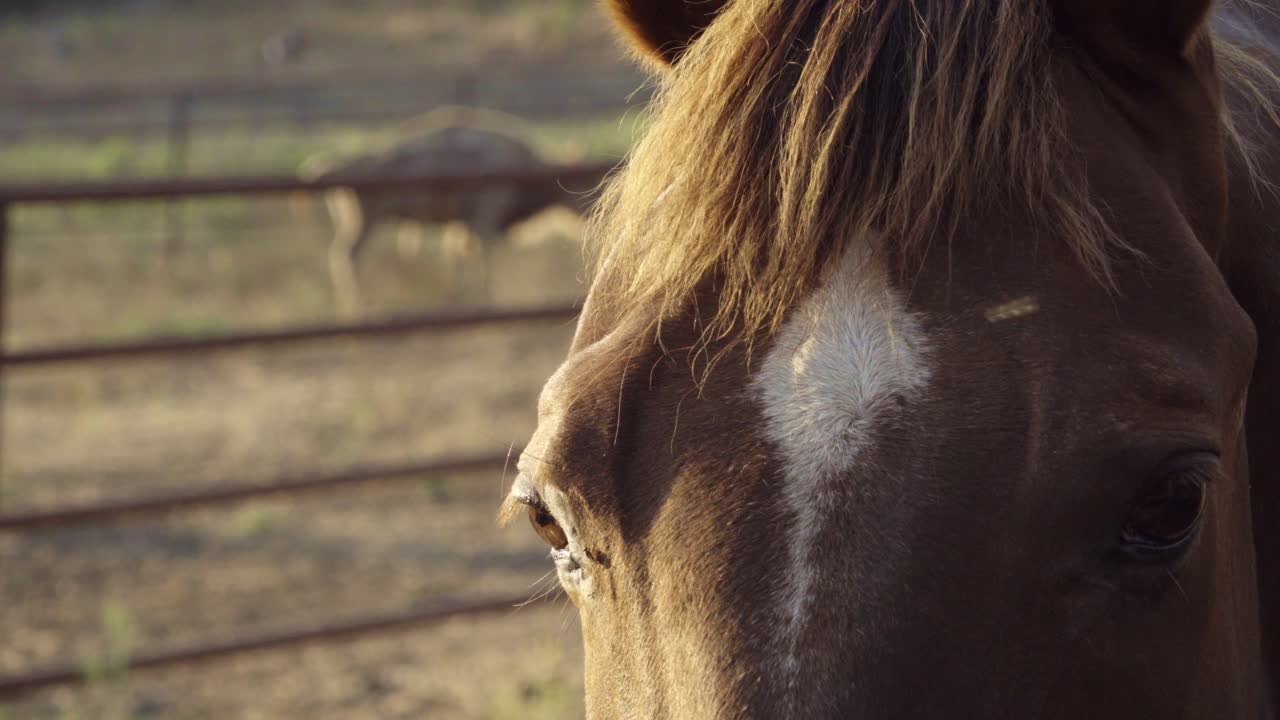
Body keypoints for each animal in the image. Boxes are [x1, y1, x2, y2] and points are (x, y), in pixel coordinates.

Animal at [300, 106, 596, 316]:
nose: (591, 215)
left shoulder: (462, 224)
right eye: (582, 183)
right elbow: (481, 256)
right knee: (346, 255)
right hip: (366, 221)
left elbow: (457, 255)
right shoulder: (485, 216)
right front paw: (487, 295)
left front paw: (459, 295)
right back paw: (357, 305)